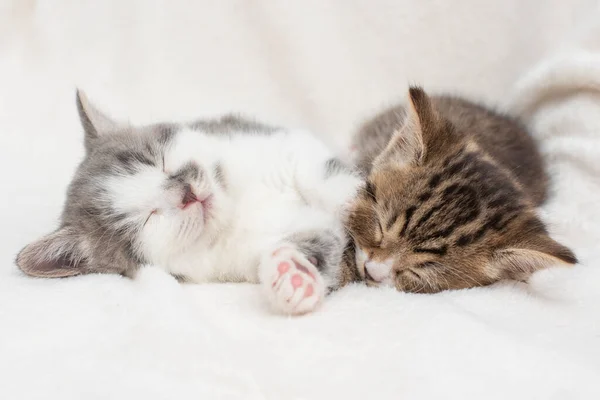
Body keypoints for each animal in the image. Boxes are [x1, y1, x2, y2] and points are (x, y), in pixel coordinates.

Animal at [16, 91, 360, 316]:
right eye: (147, 218)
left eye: (159, 161)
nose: (186, 193)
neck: (236, 206)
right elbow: (315, 244)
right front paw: (293, 279)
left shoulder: (281, 140)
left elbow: (317, 172)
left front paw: (352, 197)